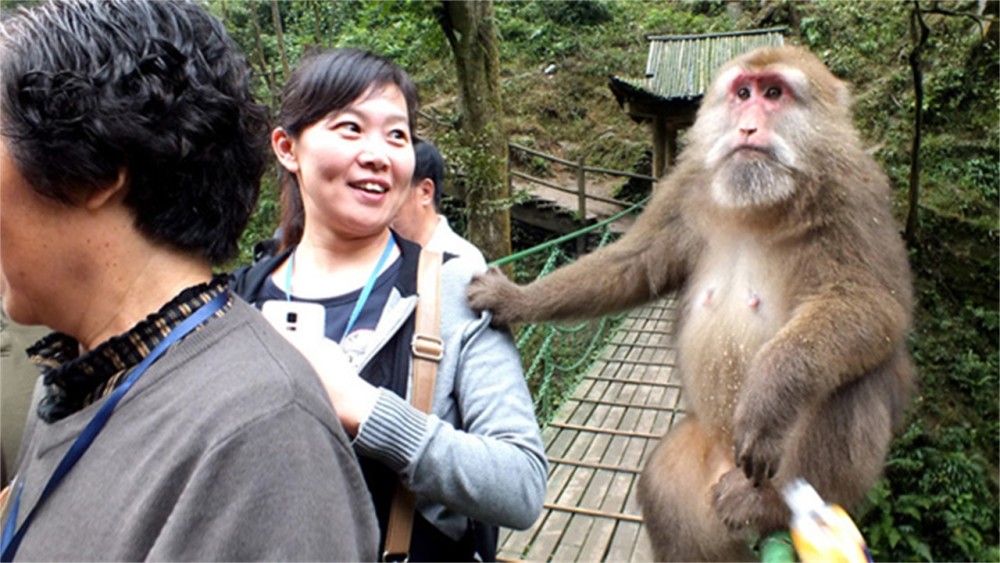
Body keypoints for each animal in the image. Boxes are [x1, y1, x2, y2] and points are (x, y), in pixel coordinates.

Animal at [468, 46, 916, 560]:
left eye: (774, 93)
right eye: (743, 93)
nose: (747, 127)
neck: (759, 203)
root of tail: (726, 464)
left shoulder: (854, 193)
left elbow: (874, 305)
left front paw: (770, 392)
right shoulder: (686, 185)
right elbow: (633, 266)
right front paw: (514, 299)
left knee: (858, 376)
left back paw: (772, 504)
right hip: (700, 459)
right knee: (664, 488)